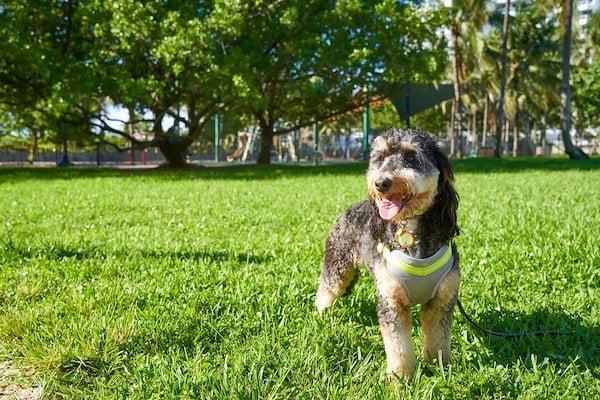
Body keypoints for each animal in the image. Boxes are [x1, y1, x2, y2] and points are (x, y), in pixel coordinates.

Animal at [314, 127, 460, 378]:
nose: (381, 183)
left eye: (412, 157)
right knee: (326, 290)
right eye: (380, 158)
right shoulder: (391, 300)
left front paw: (441, 368)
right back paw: (320, 316)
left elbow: (439, 339)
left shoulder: (441, 300)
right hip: (337, 263)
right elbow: (398, 346)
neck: (410, 231)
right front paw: (400, 377)